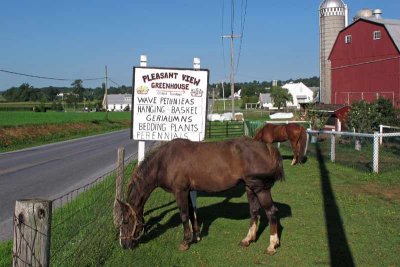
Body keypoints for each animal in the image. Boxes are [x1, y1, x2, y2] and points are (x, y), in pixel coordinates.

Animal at [113, 137, 284, 256]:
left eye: (126, 221)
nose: (124, 244)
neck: (165, 162)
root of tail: (267, 147)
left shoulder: (180, 192)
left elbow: (184, 215)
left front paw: (185, 242)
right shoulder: (188, 191)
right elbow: (191, 212)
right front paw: (196, 237)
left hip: (261, 189)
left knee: (271, 213)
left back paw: (271, 246)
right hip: (250, 188)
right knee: (254, 212)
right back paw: (247, 239)